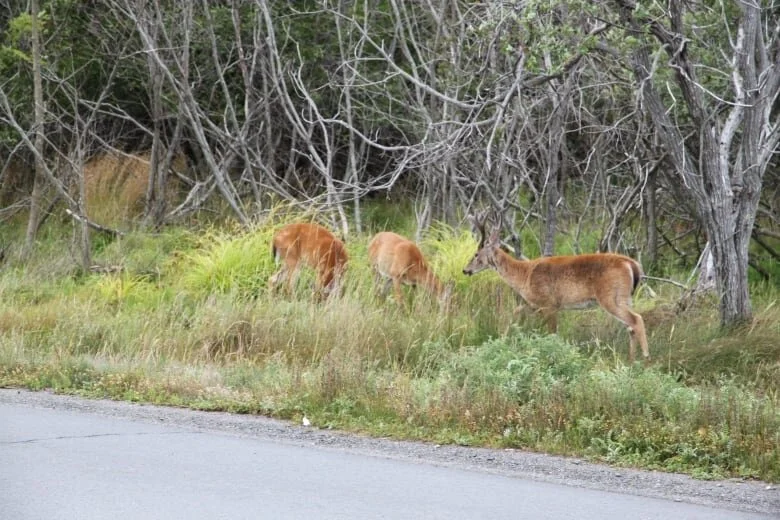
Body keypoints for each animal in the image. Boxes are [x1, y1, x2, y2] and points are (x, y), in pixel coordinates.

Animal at [463, 213, 650, 363]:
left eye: (476, 254)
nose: (465, 270)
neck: (524, 275)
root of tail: (632, 264)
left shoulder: (549, 303)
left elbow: (552, 333)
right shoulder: (534, 304)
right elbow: (515, 313)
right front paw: (503, 339)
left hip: (610, 297)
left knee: (636, 319)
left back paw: (646, 358)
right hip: (625, 297)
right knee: (631, 326)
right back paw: (631, 360)